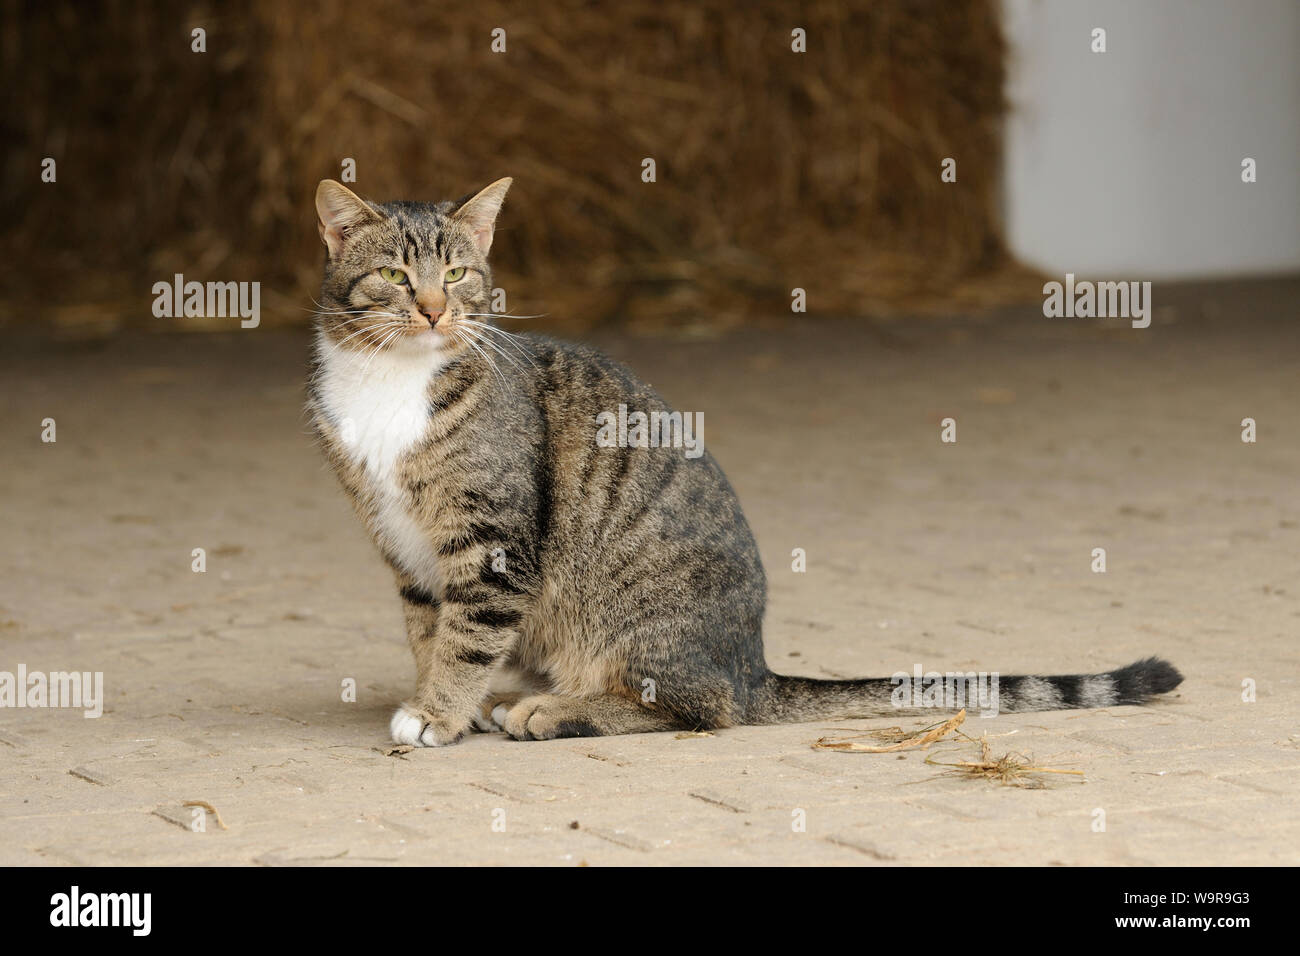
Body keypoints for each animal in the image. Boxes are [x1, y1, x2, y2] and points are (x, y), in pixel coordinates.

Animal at [306, 179, 1190, 749]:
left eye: (457, 273)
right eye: (395, 275)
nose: (433, 308)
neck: (391, 381)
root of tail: (755, 663)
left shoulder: (490, 541)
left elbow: (465, 637)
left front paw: (439, 713)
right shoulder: (407, 550)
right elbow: (432, 632)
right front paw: (436, 696)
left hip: (638, 617)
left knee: (704, 706)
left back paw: (554, 709)